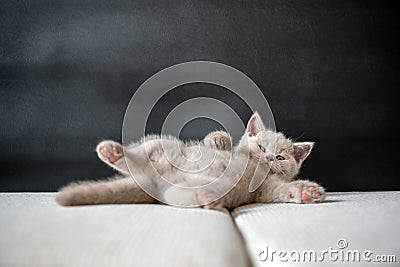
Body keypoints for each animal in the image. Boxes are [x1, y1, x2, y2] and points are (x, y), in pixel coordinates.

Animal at [56, 113, 324, 209]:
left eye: (280, 157)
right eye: (261, 147)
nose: (268, 158)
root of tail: (151, 183)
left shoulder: (262, 190)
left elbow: (279, 190)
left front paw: (307, 191)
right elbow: (226, 142)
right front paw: (218, 141)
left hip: (176, 191)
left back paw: (205, 197)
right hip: (163, 146)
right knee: (141, 156)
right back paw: (113, 152)